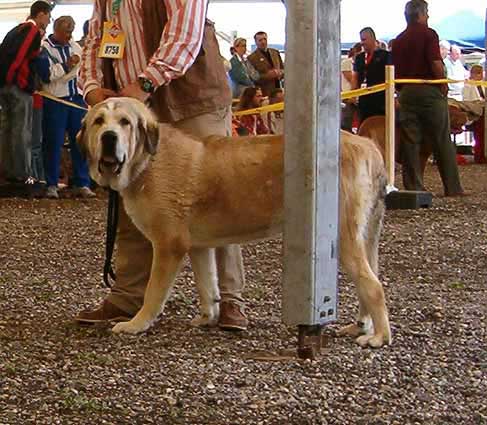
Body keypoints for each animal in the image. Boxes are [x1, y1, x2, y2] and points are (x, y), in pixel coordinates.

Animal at [79, 97, 392, 348]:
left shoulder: (169, 245)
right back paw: (361, 326)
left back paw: (379, 337)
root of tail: (369, 148)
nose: (109, 137)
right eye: (98, 122)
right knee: (370, 277)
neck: (147, 161)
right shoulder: (198, 247)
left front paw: (136, 324)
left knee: (373, 285)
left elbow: (153, 292)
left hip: (342, 236)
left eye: (125, 123)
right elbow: (208, 285)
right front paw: (207, 318)